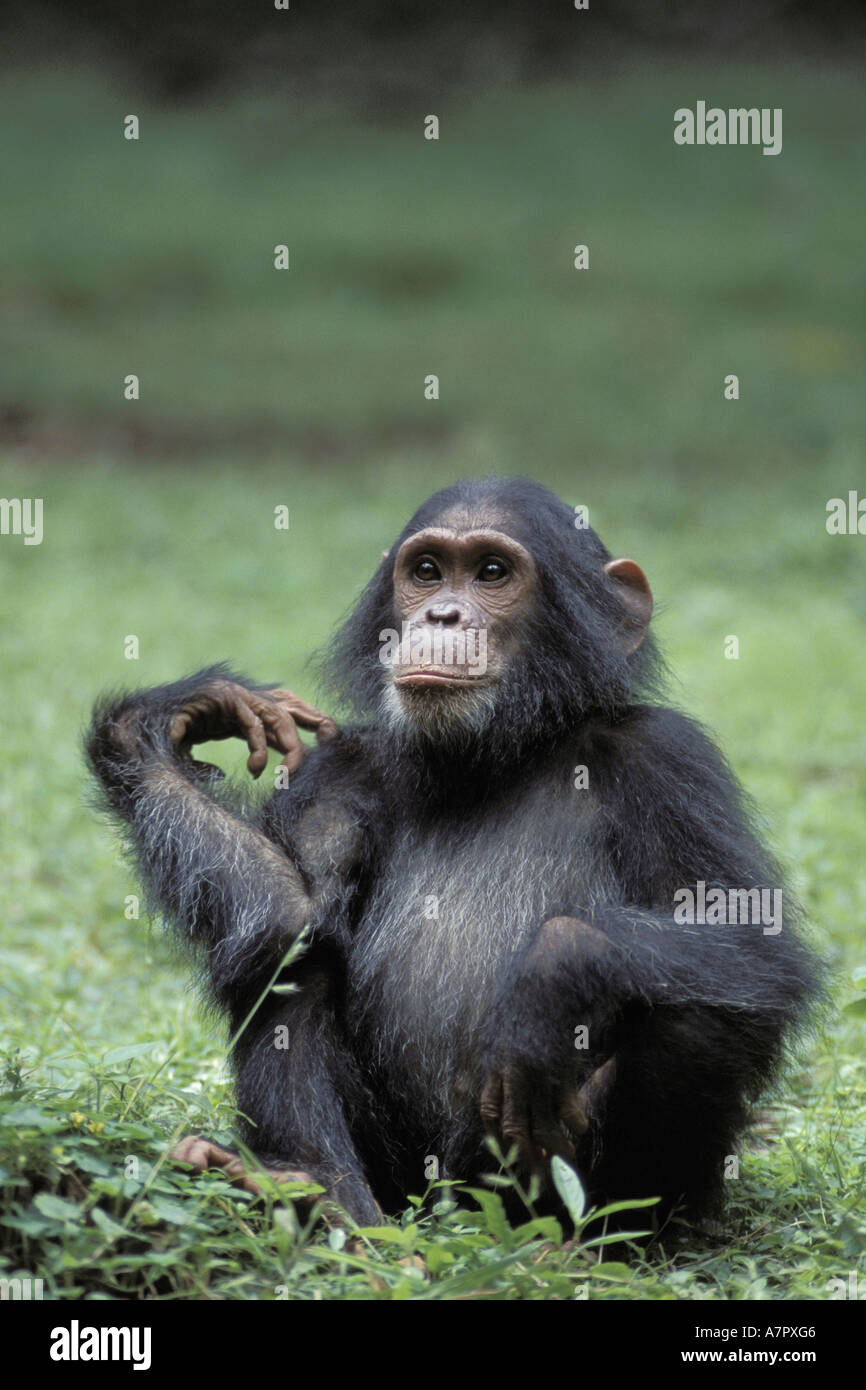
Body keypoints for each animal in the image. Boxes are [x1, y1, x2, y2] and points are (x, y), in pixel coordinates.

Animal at [88, 475, 828, 1228]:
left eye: (492, 573)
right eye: (426, 571)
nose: (441, 615)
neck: (498, 754)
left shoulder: (670, 762)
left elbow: (748, 934)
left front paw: (554, 973)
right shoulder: (340, 770)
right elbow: (290, 908)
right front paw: (167, 718)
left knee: (696, 1013)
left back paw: (611, 1233)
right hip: (402, 1178)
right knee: (286, 951)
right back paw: (316, 1191)